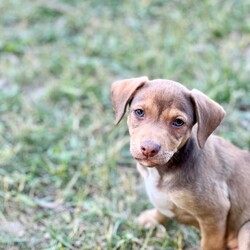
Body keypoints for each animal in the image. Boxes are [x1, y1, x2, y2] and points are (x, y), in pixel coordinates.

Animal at [112, 76, 250, 250]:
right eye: (139, 112)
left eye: (178, 122)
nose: (149, 149)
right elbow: (161, 207)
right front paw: (152, 218)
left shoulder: (215, 213)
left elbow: (209, 244)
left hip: (245, 230)